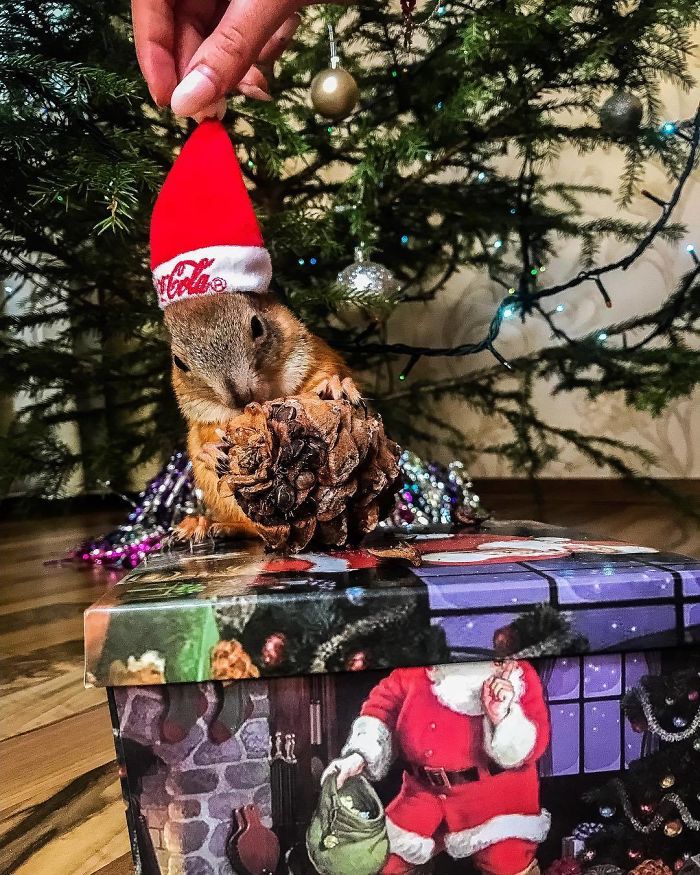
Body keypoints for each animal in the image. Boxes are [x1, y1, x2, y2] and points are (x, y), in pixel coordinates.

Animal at [164, 292, 361, 541]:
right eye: (178, 362)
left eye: (257, 326)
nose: (240, 397)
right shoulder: (203, 418)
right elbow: (207, 435)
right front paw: (212, 452)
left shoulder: (317, 358)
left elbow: (325, 376)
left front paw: (335, 386)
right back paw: (203, 523)